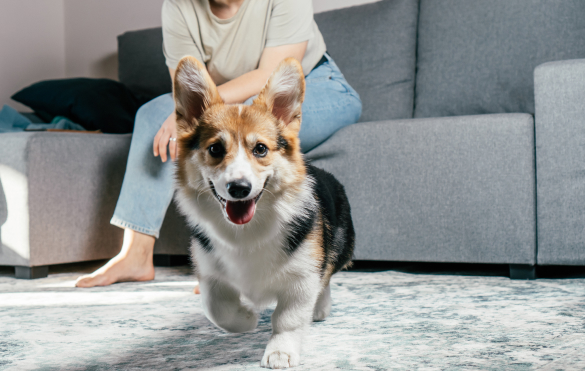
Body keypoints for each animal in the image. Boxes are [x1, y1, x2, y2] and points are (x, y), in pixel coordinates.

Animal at [173, 56, 354, 370]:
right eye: (215, 149)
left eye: (260, 149)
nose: (239, 188)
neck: (246, 230)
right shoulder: (210, 274)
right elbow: (216, 308)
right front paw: (247, 319)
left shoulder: (302, 277)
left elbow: (288, 318)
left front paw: (280, 353)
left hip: (339, 246)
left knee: (328, 275)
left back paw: (320, 308)